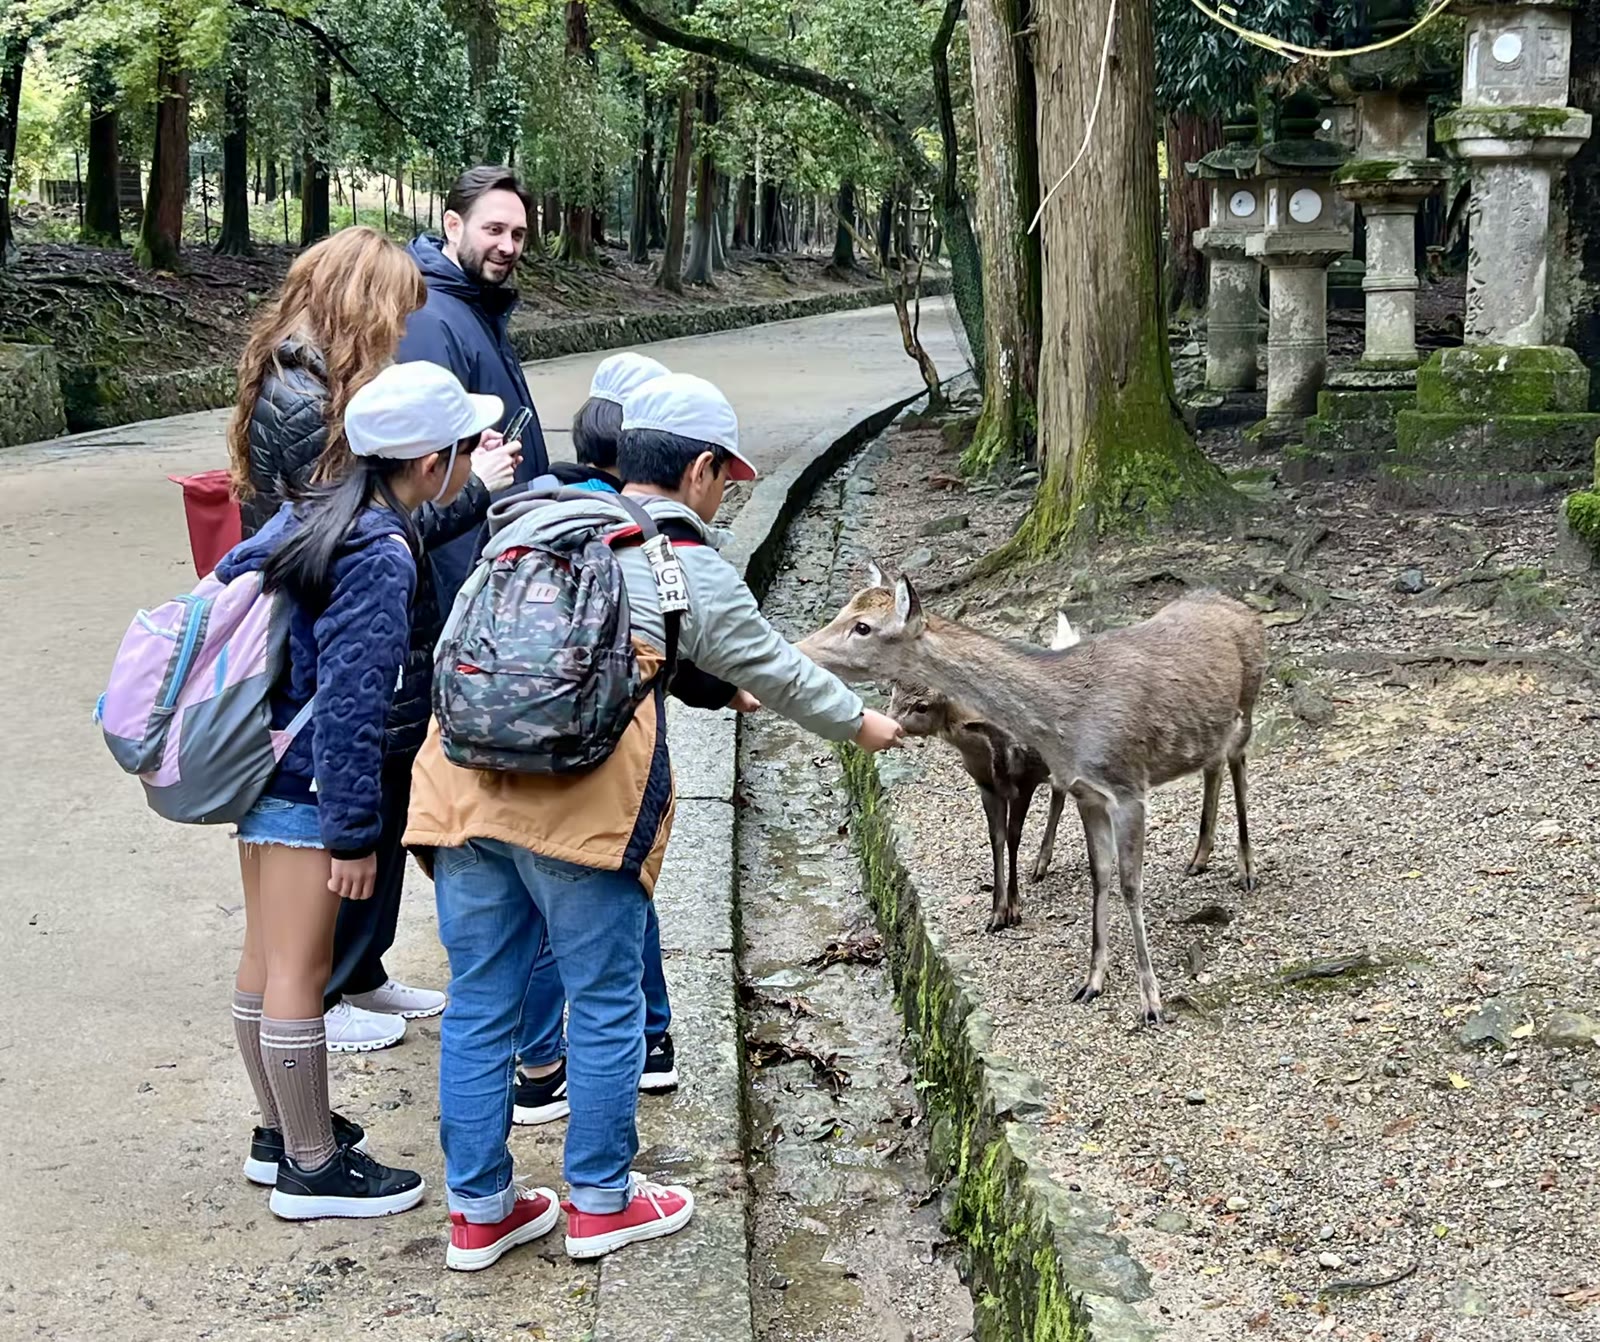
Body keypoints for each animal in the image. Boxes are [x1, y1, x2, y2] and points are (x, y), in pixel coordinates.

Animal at [885, 600, 1076, 933]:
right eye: (893, 694)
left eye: (922, 706)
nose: (889, 724)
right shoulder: (985, 785)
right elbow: (996, 838)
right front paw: (996, 913)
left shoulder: (1024, 780)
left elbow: (1013, 836)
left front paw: (1014, 909)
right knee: (1060, 790)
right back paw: (1041, 866)